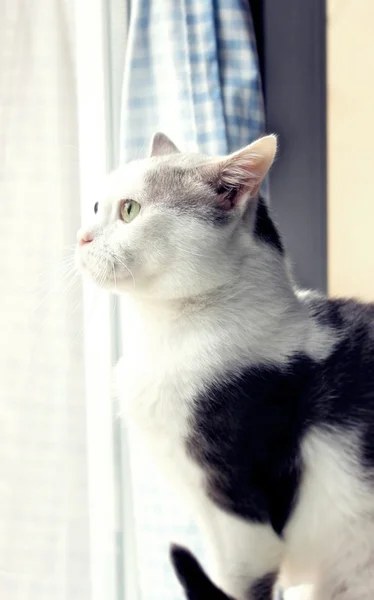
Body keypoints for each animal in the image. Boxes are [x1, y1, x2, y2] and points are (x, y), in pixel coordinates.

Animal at [76, 132, 374, 600]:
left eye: (129, 210)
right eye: (93, 207)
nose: (82, 237)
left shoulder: (242, 515)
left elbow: (240, 584)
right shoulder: (205, 510)